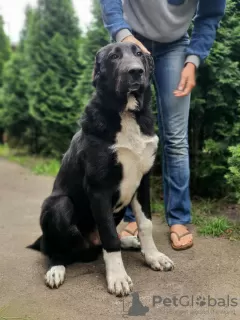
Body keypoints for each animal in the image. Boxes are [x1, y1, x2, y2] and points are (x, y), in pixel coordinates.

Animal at [29, 43, 173, 298]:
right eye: (114, 56)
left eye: (138, 53)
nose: (136, 72)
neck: (126, 114)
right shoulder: (99, 189)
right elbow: (109, 235)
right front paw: (118, 278)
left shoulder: (142, 181)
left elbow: (145, 224)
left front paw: (153, 256)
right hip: (57, 205)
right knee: (56, 248)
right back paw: (56, 269)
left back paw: (130, 242)